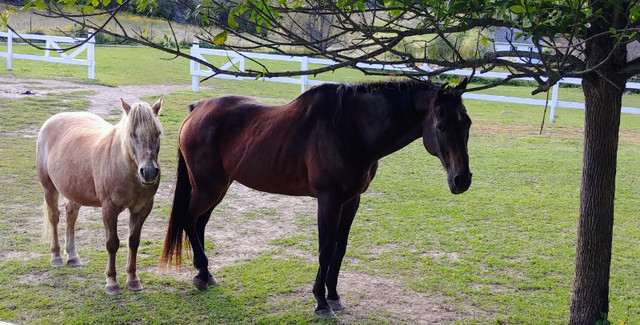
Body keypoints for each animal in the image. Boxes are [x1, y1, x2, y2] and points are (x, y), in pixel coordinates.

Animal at [36, 98, 164, 294]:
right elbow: (112, 243)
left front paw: (133, 279)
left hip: (74, 190)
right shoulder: (109, 209)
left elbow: (133, 242)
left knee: (70, 215)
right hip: (49, 188)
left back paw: (72, 256)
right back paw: (56, 256)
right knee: (54, 218)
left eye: (158, 133)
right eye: (132, 134)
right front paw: (112, 282)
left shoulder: (141, 209)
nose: (149, 172)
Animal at [160, 78, 470, 316]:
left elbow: (339, 249)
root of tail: (197, 108)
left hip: (218, 187)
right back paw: (202, 270)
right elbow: (325, 249)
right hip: (208, 187)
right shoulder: (329, 200)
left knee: (198, 223)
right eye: (441, 125)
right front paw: (321, 302)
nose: (462, 180)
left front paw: (333, 295)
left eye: (466, 124)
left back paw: (204, 274)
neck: (351, 129)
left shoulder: (351, 201)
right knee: (188, 218)